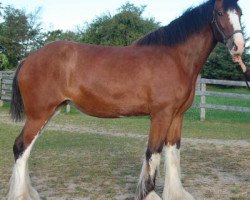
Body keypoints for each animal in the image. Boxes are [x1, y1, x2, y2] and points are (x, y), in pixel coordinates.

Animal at [7, 0, 244, 200]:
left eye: (240, 13)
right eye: (220, 13)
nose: (238, 46)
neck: (174, 59)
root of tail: (28, 58)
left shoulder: (177, 116)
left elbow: (173, 153)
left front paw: (175, 193)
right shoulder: (161, 115)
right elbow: (153, 153)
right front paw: (149, 194)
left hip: (49, 112)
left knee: (25, 150)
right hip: (39, 114)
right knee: (20, 147)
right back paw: (20, 195)